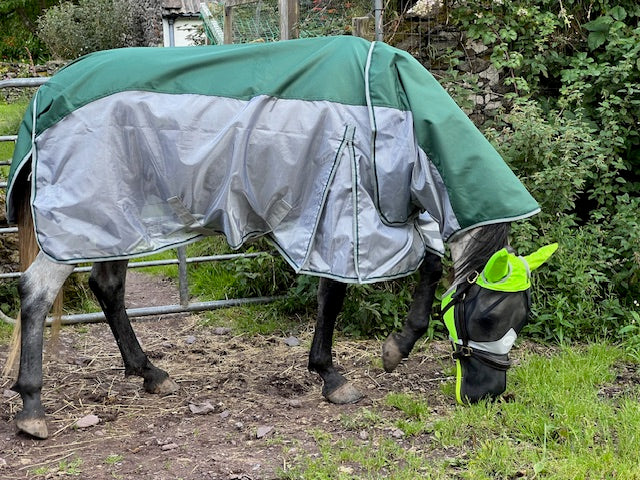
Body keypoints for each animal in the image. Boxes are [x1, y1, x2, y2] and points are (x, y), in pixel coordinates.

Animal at [3, 36, 556, 438]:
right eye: (488, 317)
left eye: (521, 318)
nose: (488, 395)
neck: (399, 119)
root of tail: (45, 95)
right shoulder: (341, 214)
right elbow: (334, 296)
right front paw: (332, 377)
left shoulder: (386, 214)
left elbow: (432, 266)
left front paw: (397, 347)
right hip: (83, 222)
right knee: (36, 294)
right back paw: (32, 408)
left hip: (116, 224)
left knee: (108, 289)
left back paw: (151, 374)